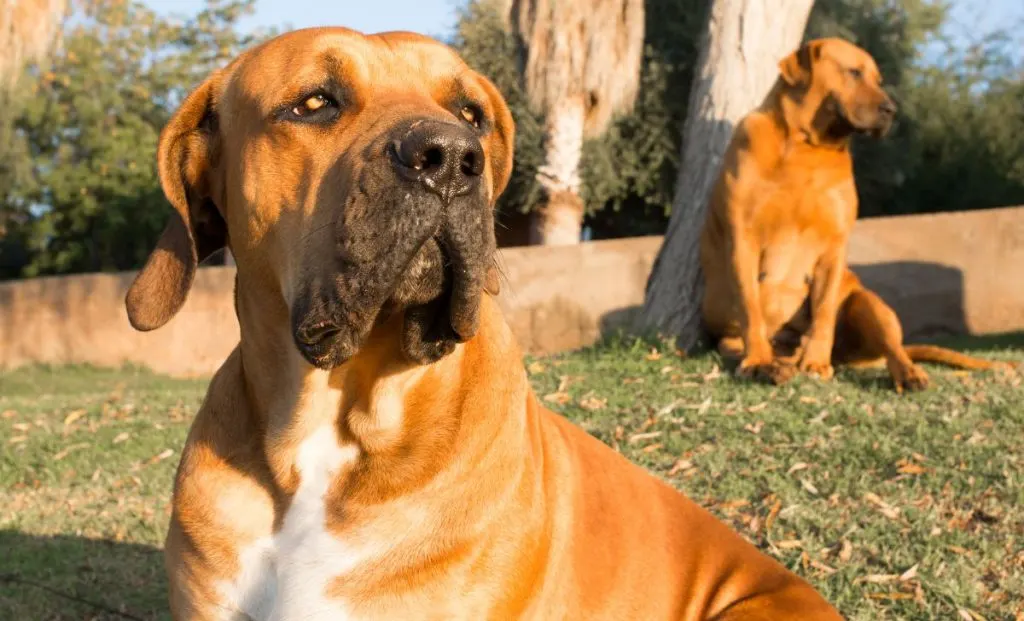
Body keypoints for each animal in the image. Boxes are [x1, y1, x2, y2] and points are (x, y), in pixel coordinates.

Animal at [700, 36, 1011, 391]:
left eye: (878, 80)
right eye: (854, 72)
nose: (891, 111)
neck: (805, 147)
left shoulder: (834, 247)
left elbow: (823, 312)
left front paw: (816, 363)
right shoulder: (744, 239)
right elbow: (750, 307)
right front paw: (758, 361)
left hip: (870, 305)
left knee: (893, 347)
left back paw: (905, 373)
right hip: (728, 335)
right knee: (749, 343)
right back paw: (776, 365)